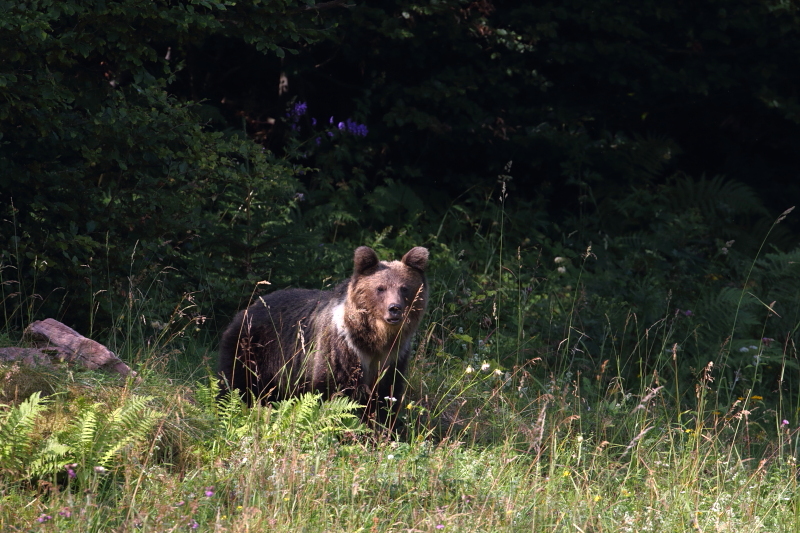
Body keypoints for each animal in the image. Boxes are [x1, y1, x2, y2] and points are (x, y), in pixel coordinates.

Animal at [216, 243, 428, 422]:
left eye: (404, 288)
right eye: (380, 288)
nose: (394, 309)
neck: (373, 340)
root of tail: (249, 307)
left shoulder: (393, 359)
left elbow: (385, 398)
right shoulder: (341, 351)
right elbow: (331, 392)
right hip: (253, 349)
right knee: (236, 384)